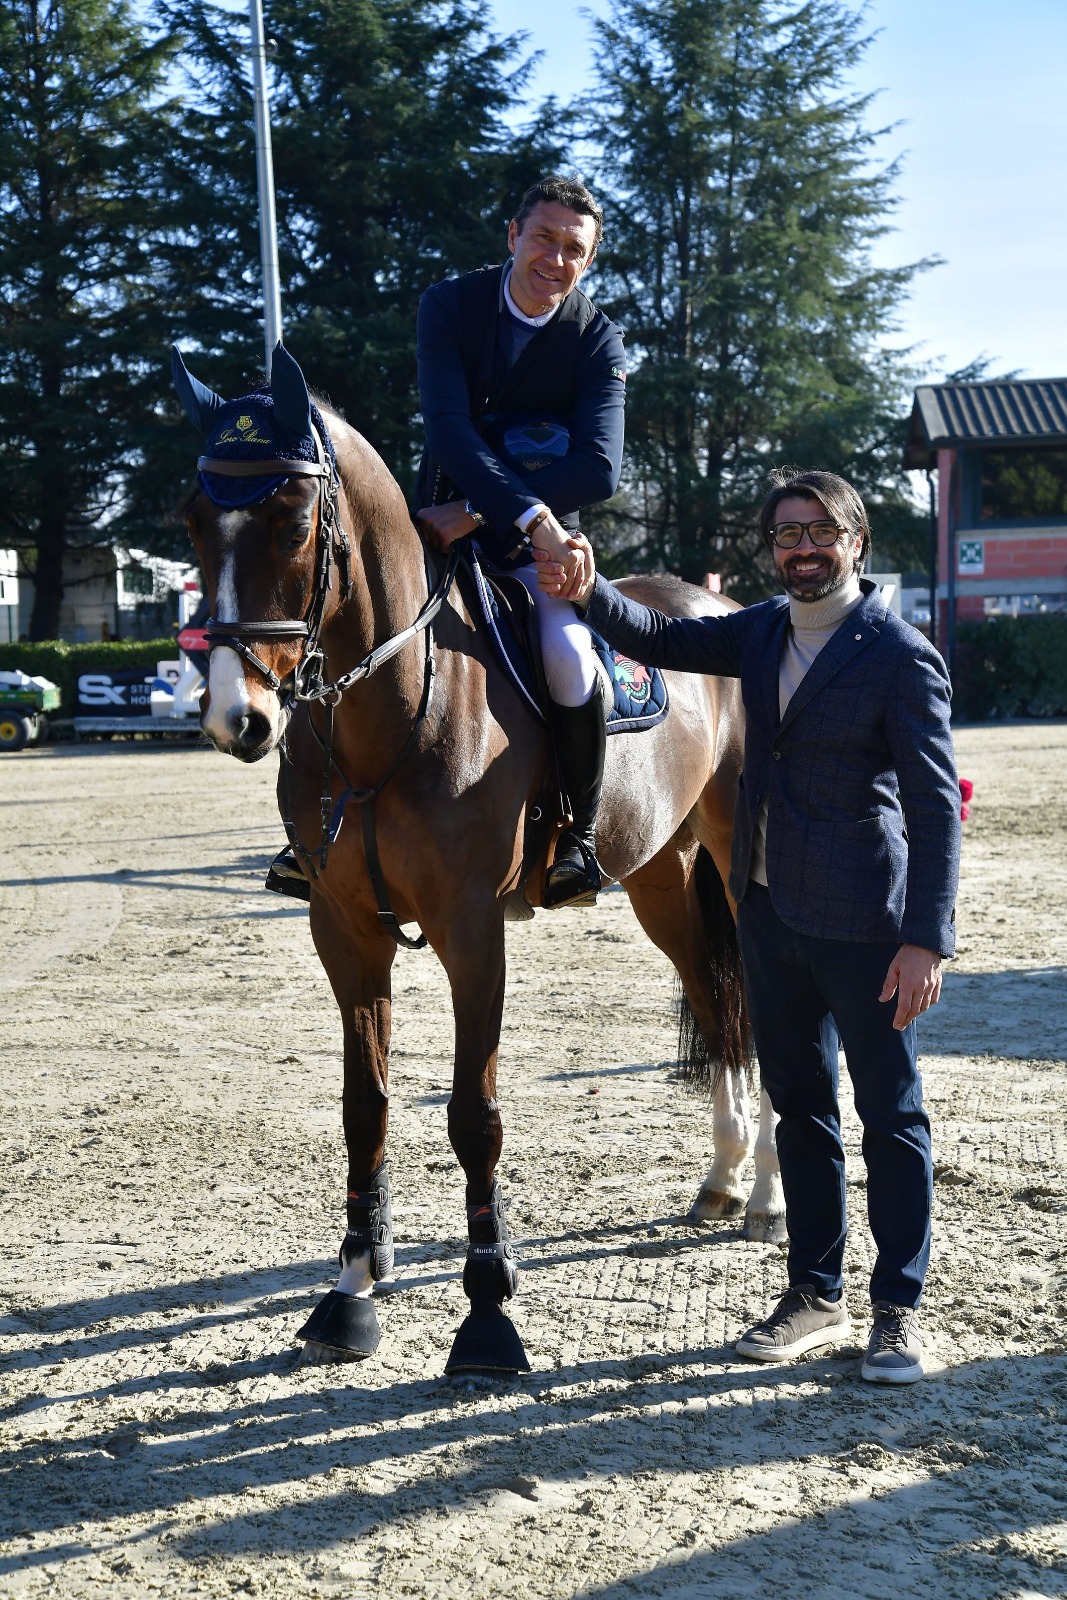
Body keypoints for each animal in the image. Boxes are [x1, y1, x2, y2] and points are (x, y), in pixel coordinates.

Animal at [171, 344, 780, 1369]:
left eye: (292, 521)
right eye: (191, 520)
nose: (234, 718)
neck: (384, 720)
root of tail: (721, 603)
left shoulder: (470, 928)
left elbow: (472, 1113)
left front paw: (488, 1308)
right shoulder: (344, 929)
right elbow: (366, 1106)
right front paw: (351, 1289)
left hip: (739, 867)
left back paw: (770, 1193)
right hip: (661, 878)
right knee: (715, 998)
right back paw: (727, 1179)